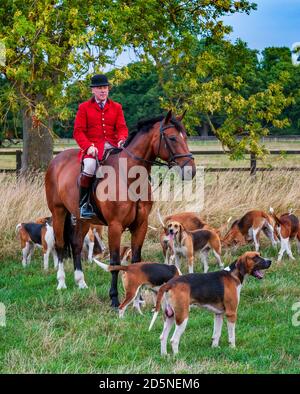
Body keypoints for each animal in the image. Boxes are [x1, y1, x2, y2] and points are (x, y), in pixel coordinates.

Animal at [44, 110, 195, 308]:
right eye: (172, 138)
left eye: (185, 136)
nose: (191, 171)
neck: (129, 177)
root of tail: (57, 160)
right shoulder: (115, 226)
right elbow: (115, 262)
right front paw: (114, 298)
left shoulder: (141, 224)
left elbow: (137, 260)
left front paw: (139, 299)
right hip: (58, 213)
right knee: (61, 244)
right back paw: (61, 282)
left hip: (83, 219)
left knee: (76, 244)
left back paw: (81, 282)